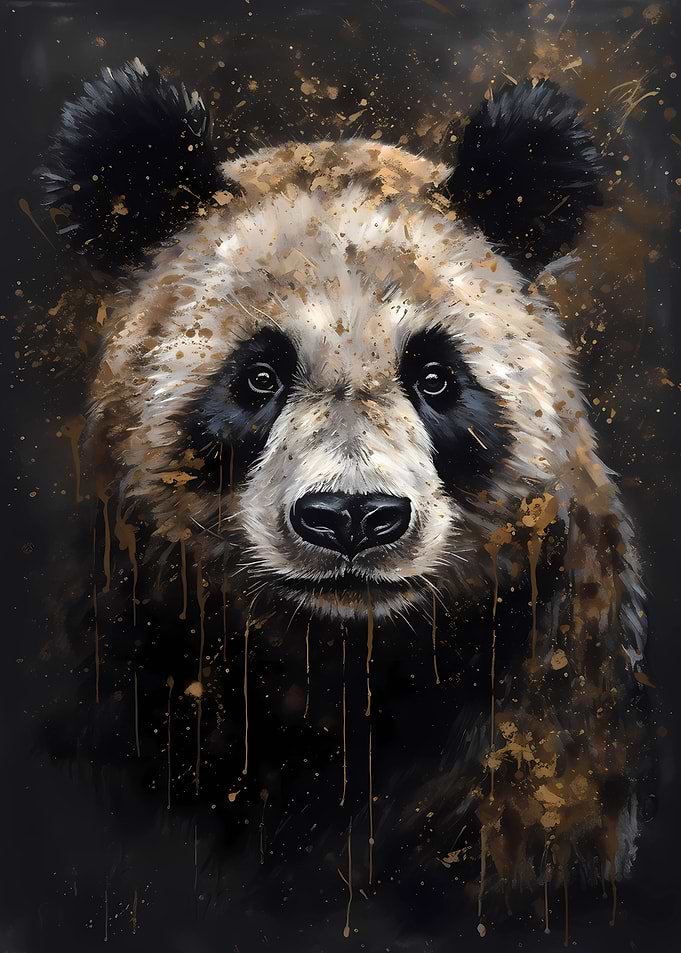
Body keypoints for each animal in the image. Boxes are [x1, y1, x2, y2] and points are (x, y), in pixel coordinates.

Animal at [40, 59, 654, 943]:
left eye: (434, 376)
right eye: (258, 376)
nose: (353, 519)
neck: (339, 659)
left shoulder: (544, 666)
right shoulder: (135, 634)